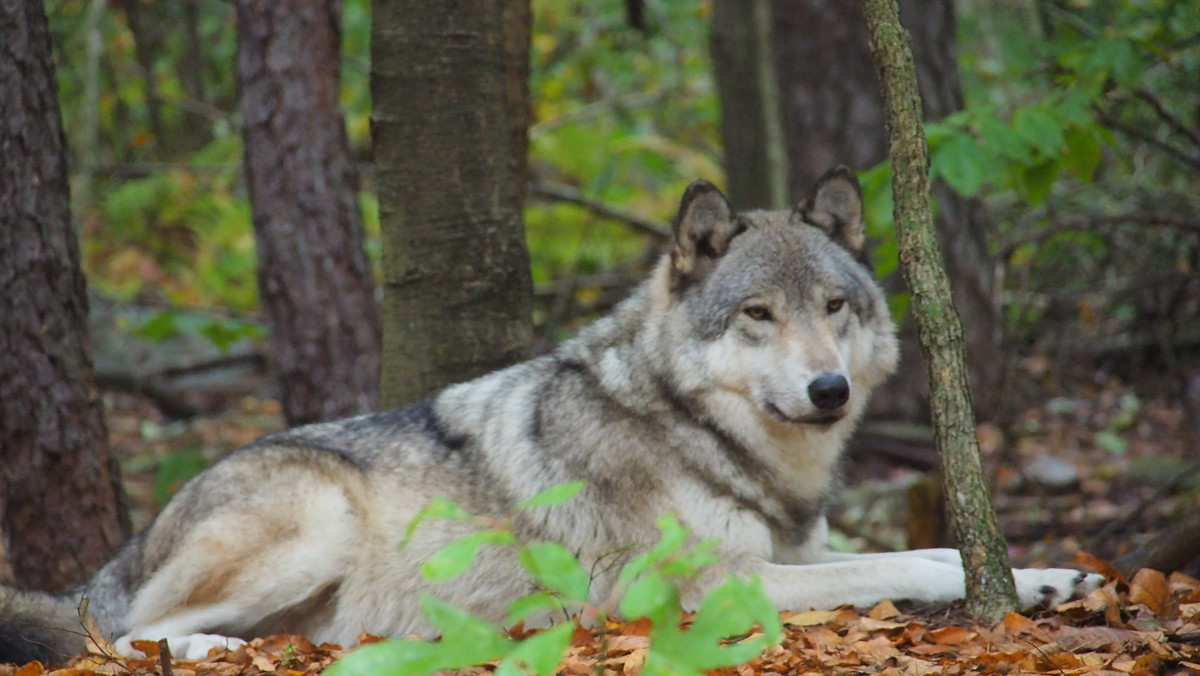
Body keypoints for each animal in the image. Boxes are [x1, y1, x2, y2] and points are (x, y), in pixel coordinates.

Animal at [0, 166, 1099, 662]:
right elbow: (907, 562)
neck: (693, 431)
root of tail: (120, 550)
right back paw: (226, 652)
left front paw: (1049, 577)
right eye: (758, 313)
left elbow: (945, 548)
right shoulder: (712, 584)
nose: (828, 389)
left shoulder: (797, 547)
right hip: (313, 524)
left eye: (835, 306)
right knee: (127, 633)